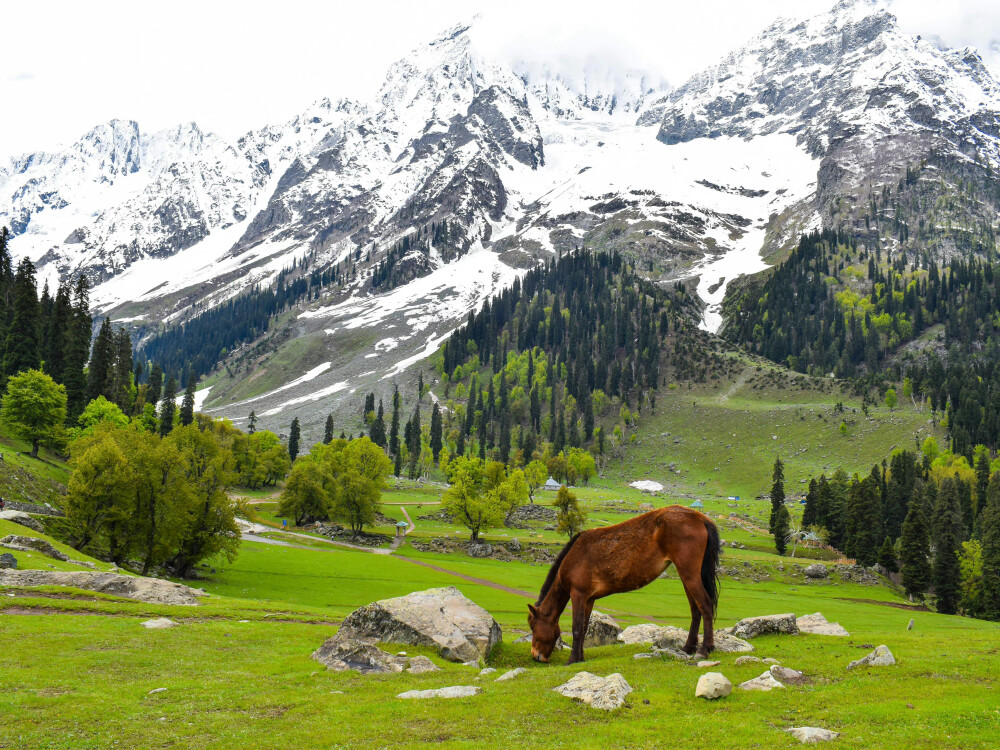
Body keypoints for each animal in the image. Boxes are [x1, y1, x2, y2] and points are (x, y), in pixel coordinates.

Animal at [532, 506, 720, 664]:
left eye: (533, 627)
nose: (536, 656)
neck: (574, 557)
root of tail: (700, 517)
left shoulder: (578, 594)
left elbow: (577, 628)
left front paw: (572, 659)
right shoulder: (589, 599)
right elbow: (584, 627)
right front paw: (580, 657)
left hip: (690, 574)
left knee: (705, 605)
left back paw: (705, 649)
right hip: (686, 577)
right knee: (696, 610)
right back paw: (688, 647)